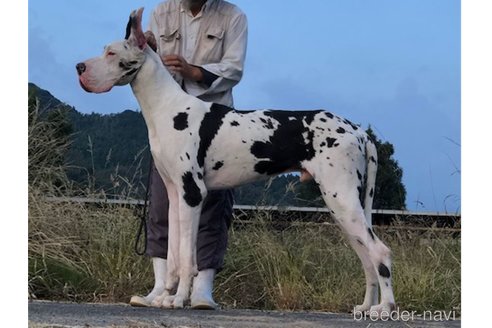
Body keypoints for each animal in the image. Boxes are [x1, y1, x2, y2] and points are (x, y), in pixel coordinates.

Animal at [79, 7, 398, 316]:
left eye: (111, 53)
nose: (79, 67)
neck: (168, 107)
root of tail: (358, 131)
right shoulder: (174, 194)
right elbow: (173, 256)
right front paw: (164, 296)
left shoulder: (192, 194)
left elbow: (187, 257)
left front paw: (178, 300)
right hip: (343, 208)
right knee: (367, 258)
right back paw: (366, 306)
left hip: (341, 199)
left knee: (380, 252)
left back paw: (385, 308)